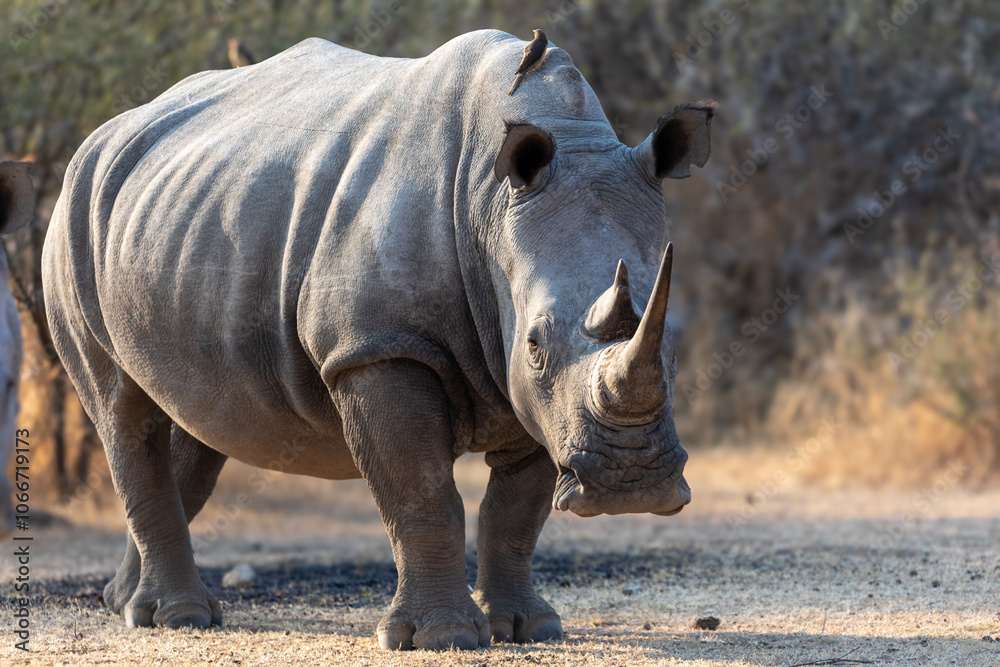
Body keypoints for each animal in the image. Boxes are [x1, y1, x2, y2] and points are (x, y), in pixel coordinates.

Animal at [42, 31, 713, 649]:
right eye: (535, 345)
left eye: (674, 347)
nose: (631, 486)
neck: (493, 204)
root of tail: (99, 140)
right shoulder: (378, 347)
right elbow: (422, 493)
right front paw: (442, 638)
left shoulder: (533, 394)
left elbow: (516, 511)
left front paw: (530, 629)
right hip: (71, 219)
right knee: (123, 412)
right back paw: (179, 618)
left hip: (177, 220)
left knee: (197, 421)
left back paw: (126, 604)